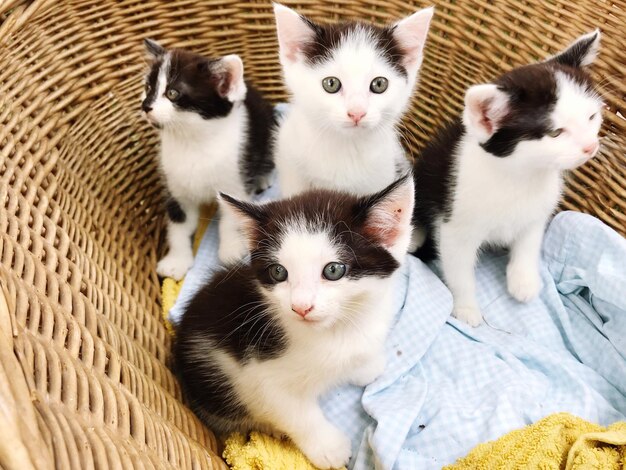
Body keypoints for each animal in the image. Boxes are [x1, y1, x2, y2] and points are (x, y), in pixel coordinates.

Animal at [144, 39, 276, 280]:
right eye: (148, 88)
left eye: (173, 93)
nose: (146, 106)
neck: (193, 141)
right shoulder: (175, 187)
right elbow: (179, 224)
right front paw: (176, 260)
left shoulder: (234, 179)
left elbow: (230, 218)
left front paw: (231, 249)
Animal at [173, 174, 414, 468]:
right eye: (278, 272)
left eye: (333, 270)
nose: (300, 307)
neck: (336, 331)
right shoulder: (257, 372)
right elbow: (294, 411)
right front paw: (329, 448)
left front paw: (366, 366)